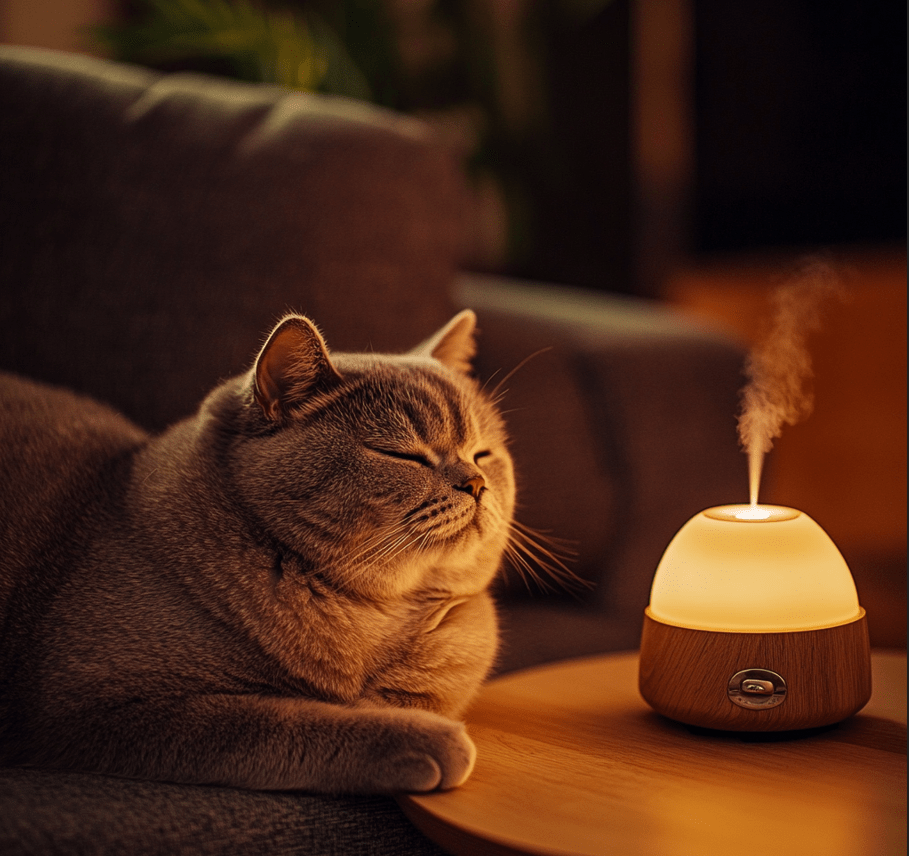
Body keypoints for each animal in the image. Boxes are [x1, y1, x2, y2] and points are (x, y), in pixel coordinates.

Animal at [0, 310, 516, 796]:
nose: (476, 482)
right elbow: (276, 720)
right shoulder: (93, 708)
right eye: (402, 455)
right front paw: (425, 739)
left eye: (483, 454)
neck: (377, 615)